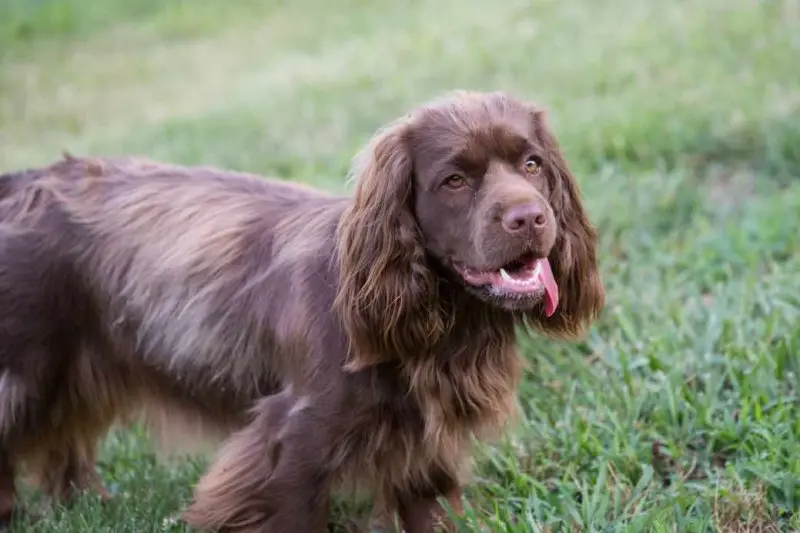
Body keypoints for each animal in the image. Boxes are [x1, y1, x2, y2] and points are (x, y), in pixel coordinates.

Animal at [0, 89, 604, 528]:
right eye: (454, 180)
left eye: (532, 164)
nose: (530, 218)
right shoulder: (292, 446)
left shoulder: (421, 452)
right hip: (24, 371)